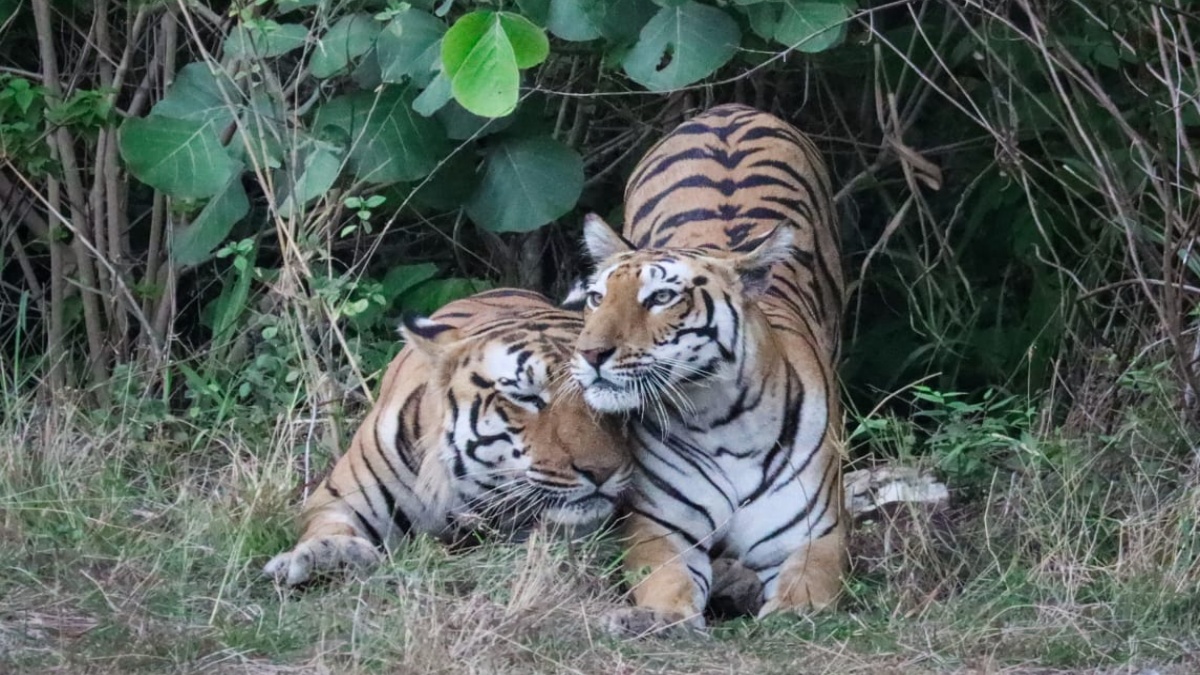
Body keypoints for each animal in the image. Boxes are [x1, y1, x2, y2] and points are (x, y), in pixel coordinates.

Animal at [570, 104, 846, 635]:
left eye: (661, 297)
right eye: (596, 298)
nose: (590, 353)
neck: (722, 420)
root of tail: (729, 110)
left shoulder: (814, 536)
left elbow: (803, 593)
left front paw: (787, 613)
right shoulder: (660, 527)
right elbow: (667, 580)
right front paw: (658, 618)